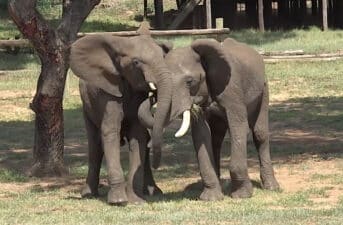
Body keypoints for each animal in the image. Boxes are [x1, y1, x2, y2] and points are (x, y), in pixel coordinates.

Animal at [69, 25, 175, 205]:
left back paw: (153, 192)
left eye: (163, 57)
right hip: (87, 106)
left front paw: (135, 200)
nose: (153, 95)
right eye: (136, 62)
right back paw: (88, 194)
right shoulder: (108, 93)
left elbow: (138, 136)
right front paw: (118, 200)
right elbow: (110, 131)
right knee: (95, 145)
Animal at [138, 37, 280, 200]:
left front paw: (242, 195)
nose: (151, 96)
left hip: (264, 88)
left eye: (189, 81)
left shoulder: (232, 89)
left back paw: (272, 187)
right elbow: (202, 134)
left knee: (259, 133)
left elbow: (239, 128)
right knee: (216, 139)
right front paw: (211, 198)